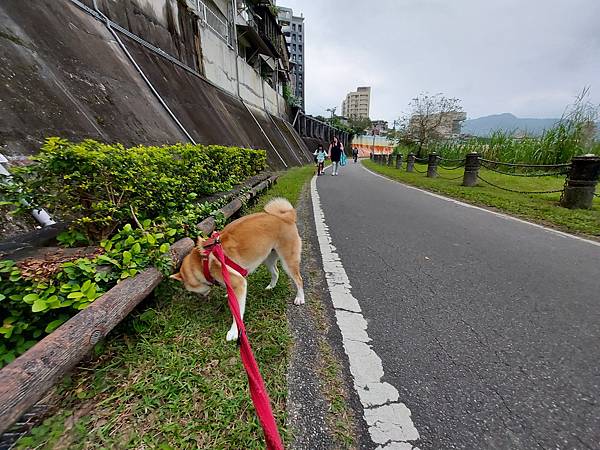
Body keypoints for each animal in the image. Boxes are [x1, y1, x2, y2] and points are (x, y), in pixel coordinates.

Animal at [172, 197, 304, 342]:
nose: (202, 297)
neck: (203, 263)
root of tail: (286, 217)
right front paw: (227, 294)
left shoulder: (239, 284)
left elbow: (237, 312)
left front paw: (235, 331)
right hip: (267, 257)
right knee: (276, 272)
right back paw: (271, 286)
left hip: (288, 261)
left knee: (299, 279)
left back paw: (299, 298)